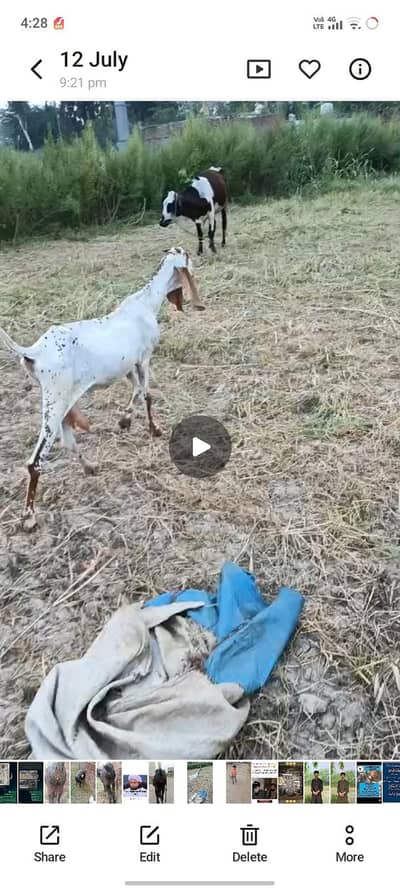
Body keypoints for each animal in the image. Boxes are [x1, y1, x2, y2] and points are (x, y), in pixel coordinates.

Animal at [0, 247, 203, 529]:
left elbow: (136, 391)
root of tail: (33, 352)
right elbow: (147, 394)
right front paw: (153, 429)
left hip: (62, 402)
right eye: (187, 256)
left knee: (67, 441)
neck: (146, 301)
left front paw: (125, 420)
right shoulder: (144, 359)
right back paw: (29, 516)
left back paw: (90, 466)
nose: (199, 262)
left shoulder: (127, 365)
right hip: (55, 399)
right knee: (35, 461)